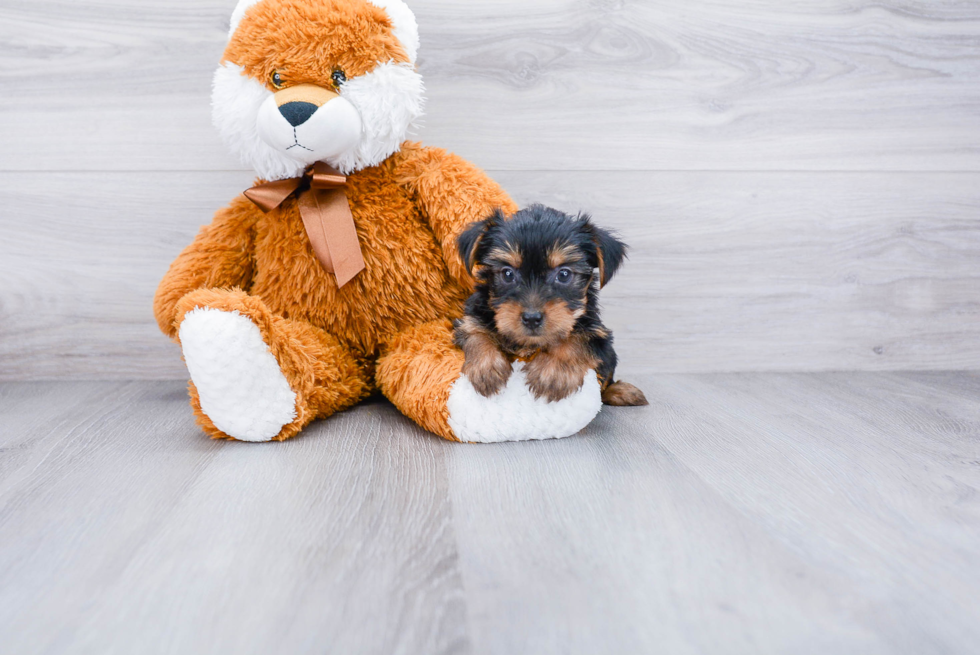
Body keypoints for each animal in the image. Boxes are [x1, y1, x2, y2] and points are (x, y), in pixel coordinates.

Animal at [454, 205, 652, 408]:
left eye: (564, 274)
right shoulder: (472, 318)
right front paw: (486, 367)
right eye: (508, 274)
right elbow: (475, 332)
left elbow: (578, 338)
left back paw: (621, 391)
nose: (532, 318)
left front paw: (553, 372)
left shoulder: (597, 332)